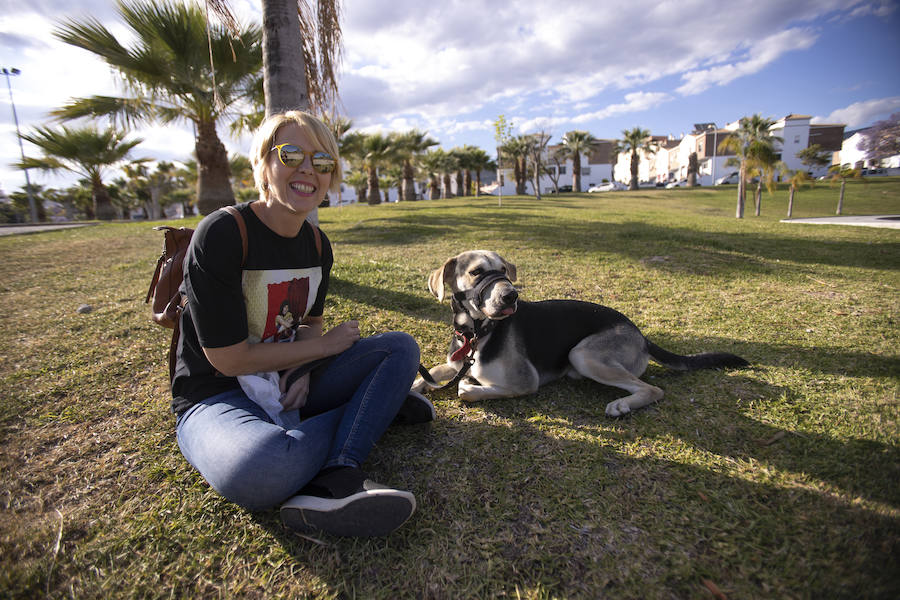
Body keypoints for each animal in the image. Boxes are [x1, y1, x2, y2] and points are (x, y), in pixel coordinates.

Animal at [412, 250, 748, 418]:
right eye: (476, 272)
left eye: (504, 271)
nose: (511, 296)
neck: (477, 333)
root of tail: (639, 333)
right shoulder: (454, 364)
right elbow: (429, 375)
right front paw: (415, 386)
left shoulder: (525, 382)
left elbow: (465, 389)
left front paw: (469, 385)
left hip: (583, 353)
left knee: (654, 389)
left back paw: (623, 405)